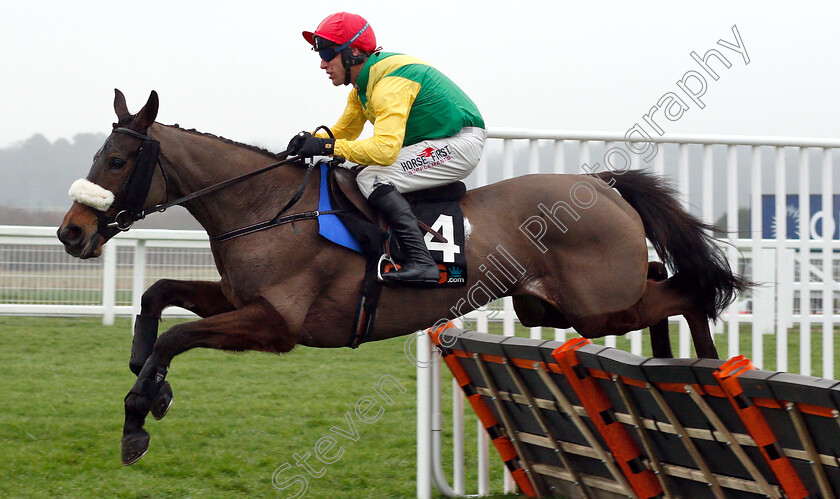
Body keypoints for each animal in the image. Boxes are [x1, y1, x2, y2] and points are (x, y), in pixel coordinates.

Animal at [57, 89, 748, 464]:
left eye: (115, 160)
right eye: (97, 154)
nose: (71, 233)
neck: (264, 208)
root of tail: (602, 185)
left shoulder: (276, 325)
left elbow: (177, 335)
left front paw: (138, 415)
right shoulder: (235, 299)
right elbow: (157, 298)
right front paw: (148, 378)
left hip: (596, 306)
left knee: (687, 290)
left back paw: (706, 369)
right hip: (552, 305)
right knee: (660, 281)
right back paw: (668, 365)